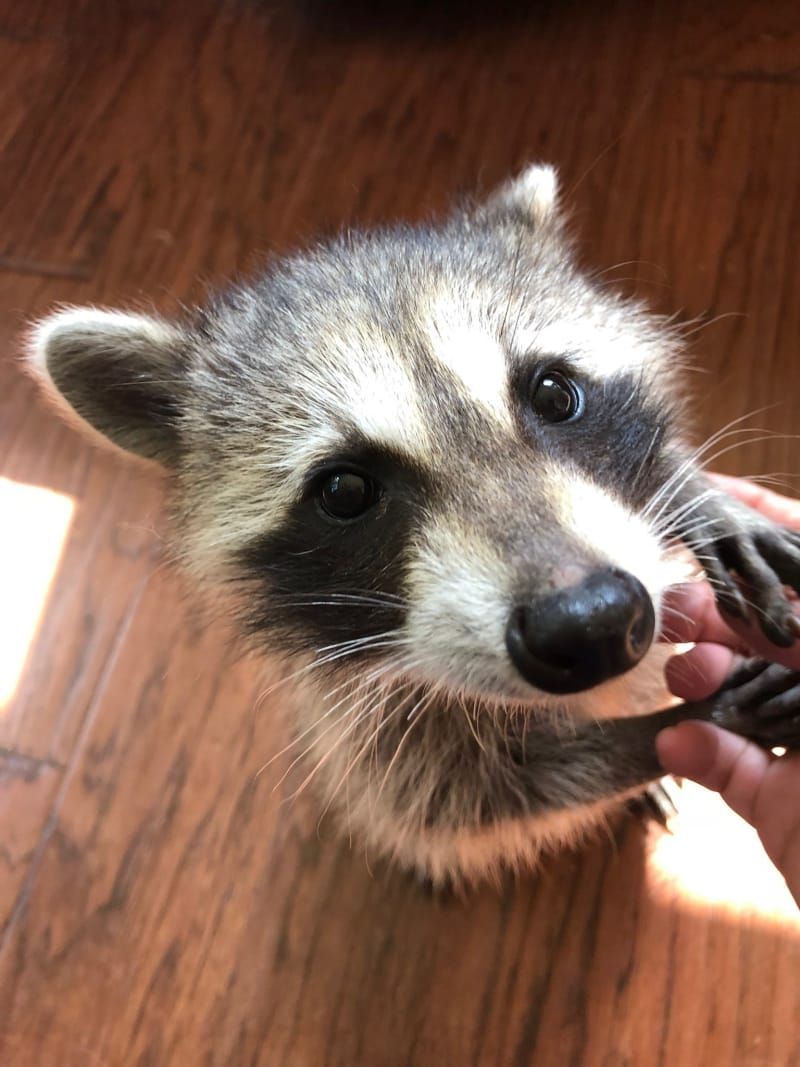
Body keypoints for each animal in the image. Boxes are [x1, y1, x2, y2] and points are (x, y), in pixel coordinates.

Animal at [29, 165, 800, 887]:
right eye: (344, 491)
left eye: (555, 395)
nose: (592, 621)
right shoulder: (367, 726)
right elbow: (468, 798)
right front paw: (679, 728)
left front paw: (699, 494)